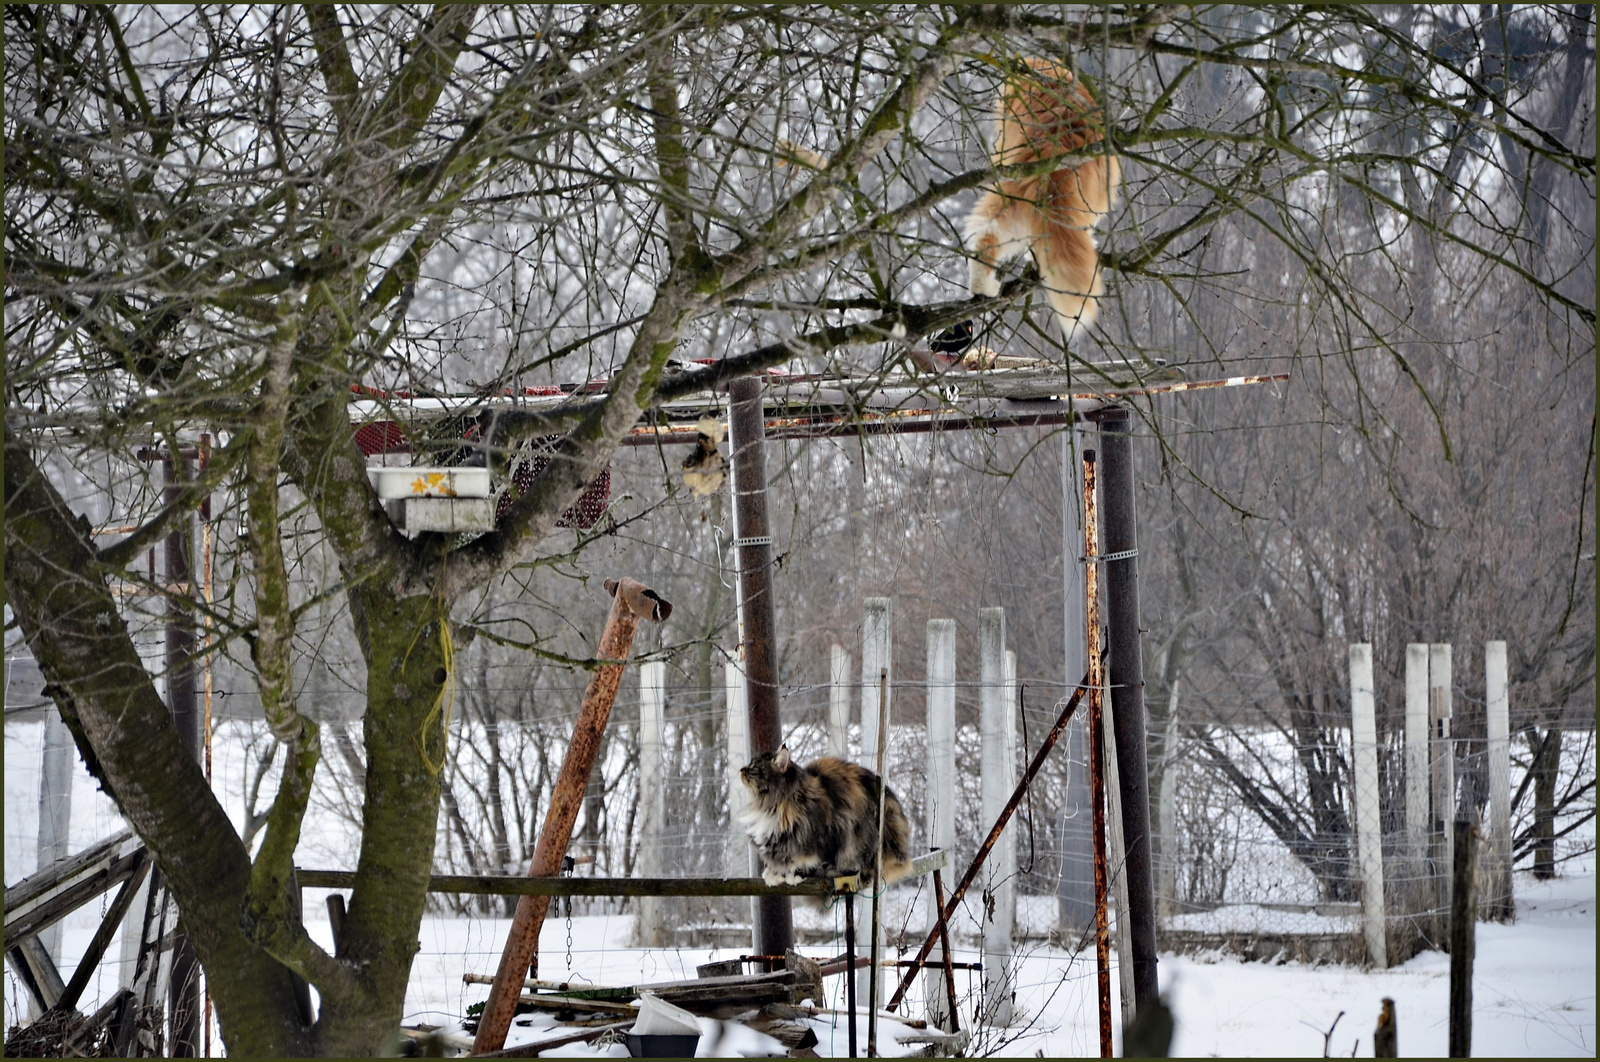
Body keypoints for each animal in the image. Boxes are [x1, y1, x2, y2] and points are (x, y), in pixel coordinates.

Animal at [739, 745, 915, 889]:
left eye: (753, 766)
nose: (741, 769)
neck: (774, 807)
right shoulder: (784, 845)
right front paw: (775, 874)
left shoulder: (828, 835)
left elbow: (813, 860)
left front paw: (795, 875)